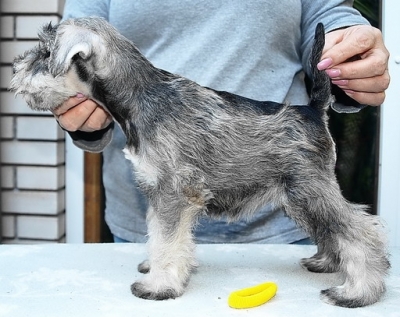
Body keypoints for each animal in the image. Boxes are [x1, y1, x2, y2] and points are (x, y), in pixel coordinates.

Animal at [9, 16, 390, 306]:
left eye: (45, 51)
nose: (15, 67)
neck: (139, 98)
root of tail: (313, 110)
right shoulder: (157, 193)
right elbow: (160, 237)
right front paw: (157, 268)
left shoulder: (173, 194)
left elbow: (167, 241)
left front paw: (159, 286)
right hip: (301, 197)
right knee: (332, 229)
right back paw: (326, 262)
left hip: (310, 189)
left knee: (359, 231)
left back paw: (357, 291)